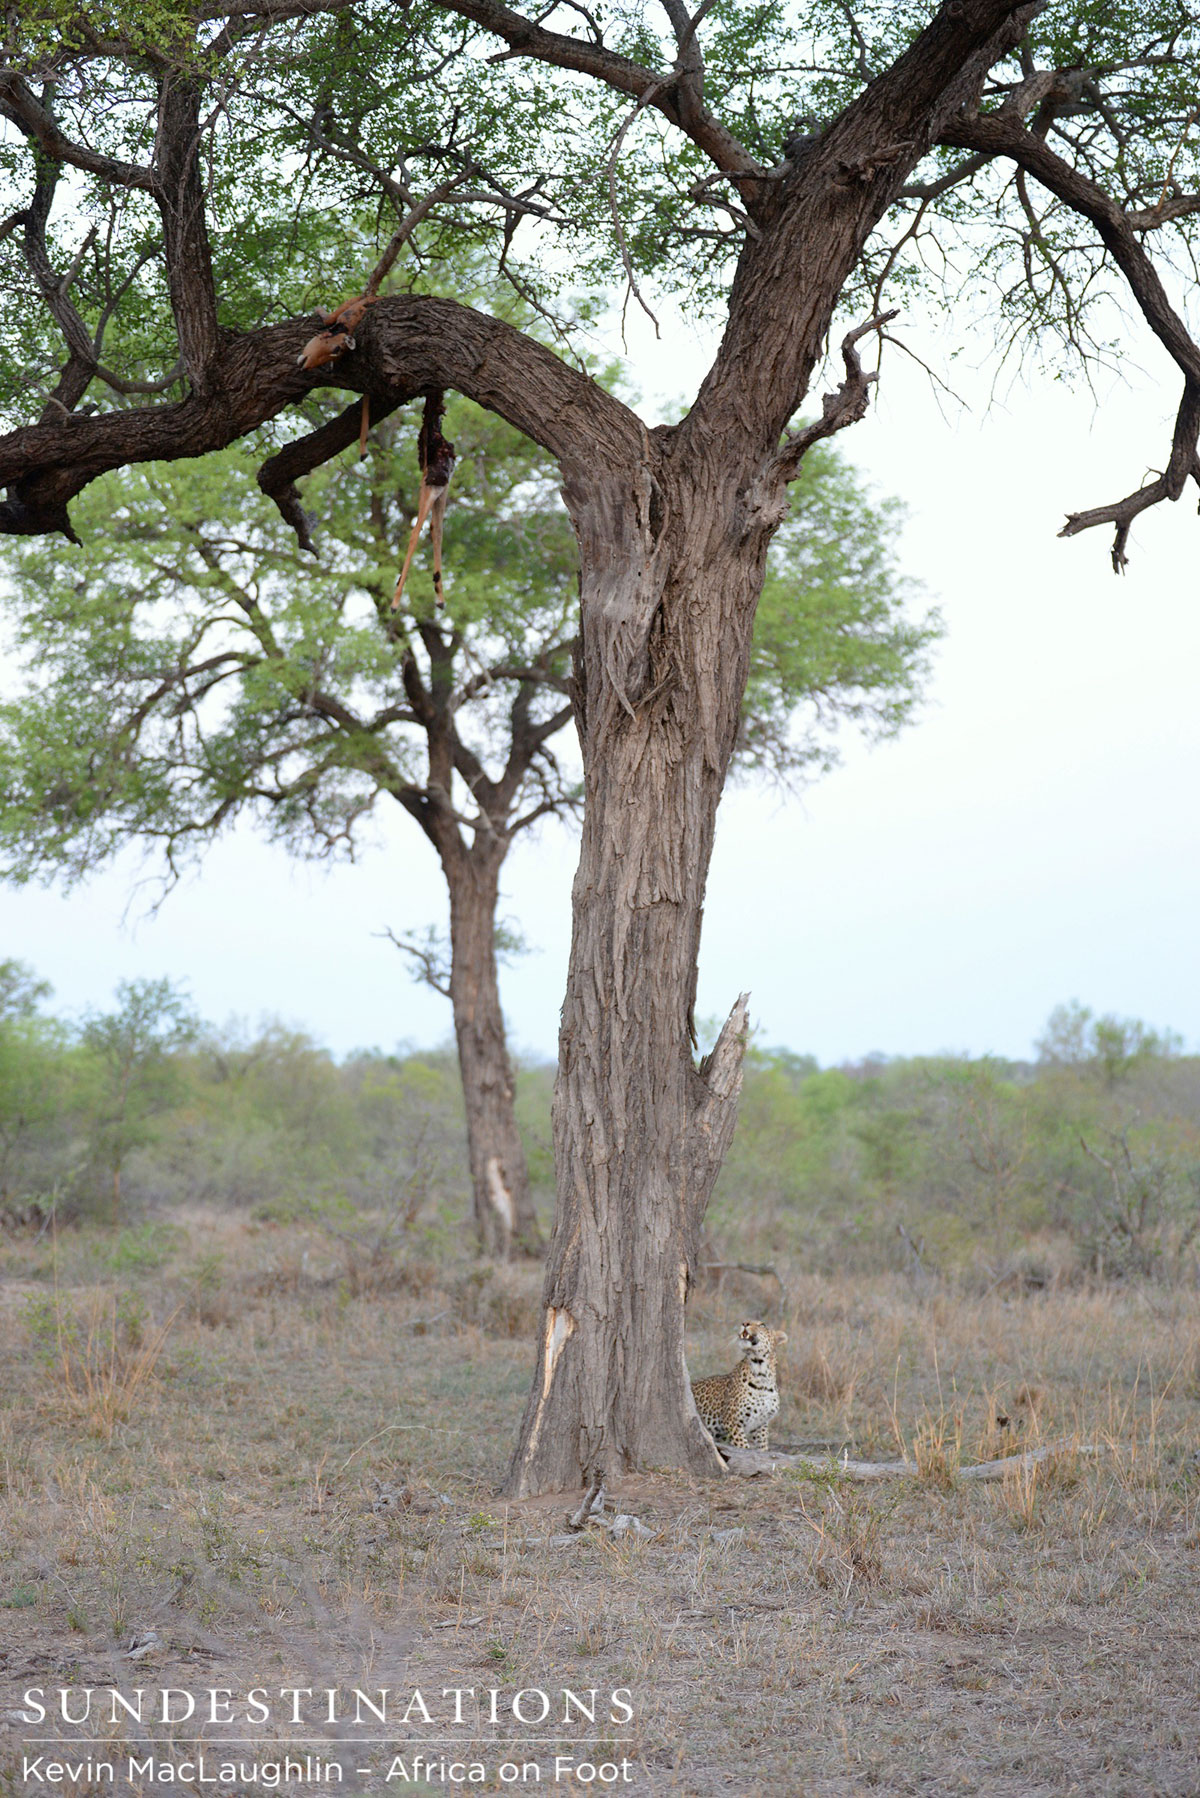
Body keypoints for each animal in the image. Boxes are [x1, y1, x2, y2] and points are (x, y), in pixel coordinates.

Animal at [691, 1319, 788, 1453]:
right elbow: (743, 1446)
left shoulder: (760, 1424)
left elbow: (762, 1446)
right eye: (746, 1321)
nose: (745, 1323)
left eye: (762, 1325)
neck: (762, 1374)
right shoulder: (733, 1422)